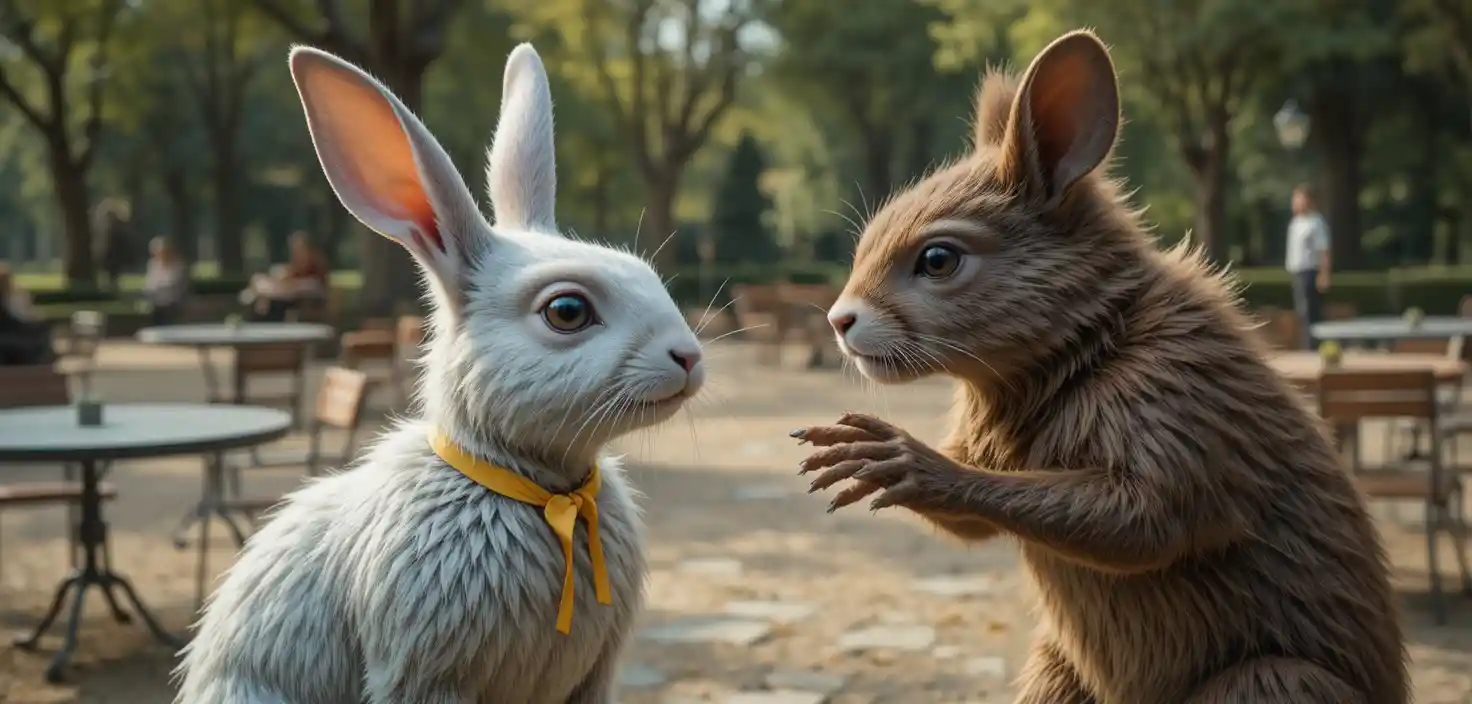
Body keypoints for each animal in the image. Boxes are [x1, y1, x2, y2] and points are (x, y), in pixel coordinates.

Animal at [791, 31, 1408, 704]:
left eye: (937, 259)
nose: (838, 322)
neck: (1089, 345)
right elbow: (978, 527)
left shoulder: (1182, 399)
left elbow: (1143, 520)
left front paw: (898, 457)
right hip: (1059, 672)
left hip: (1271, 681)